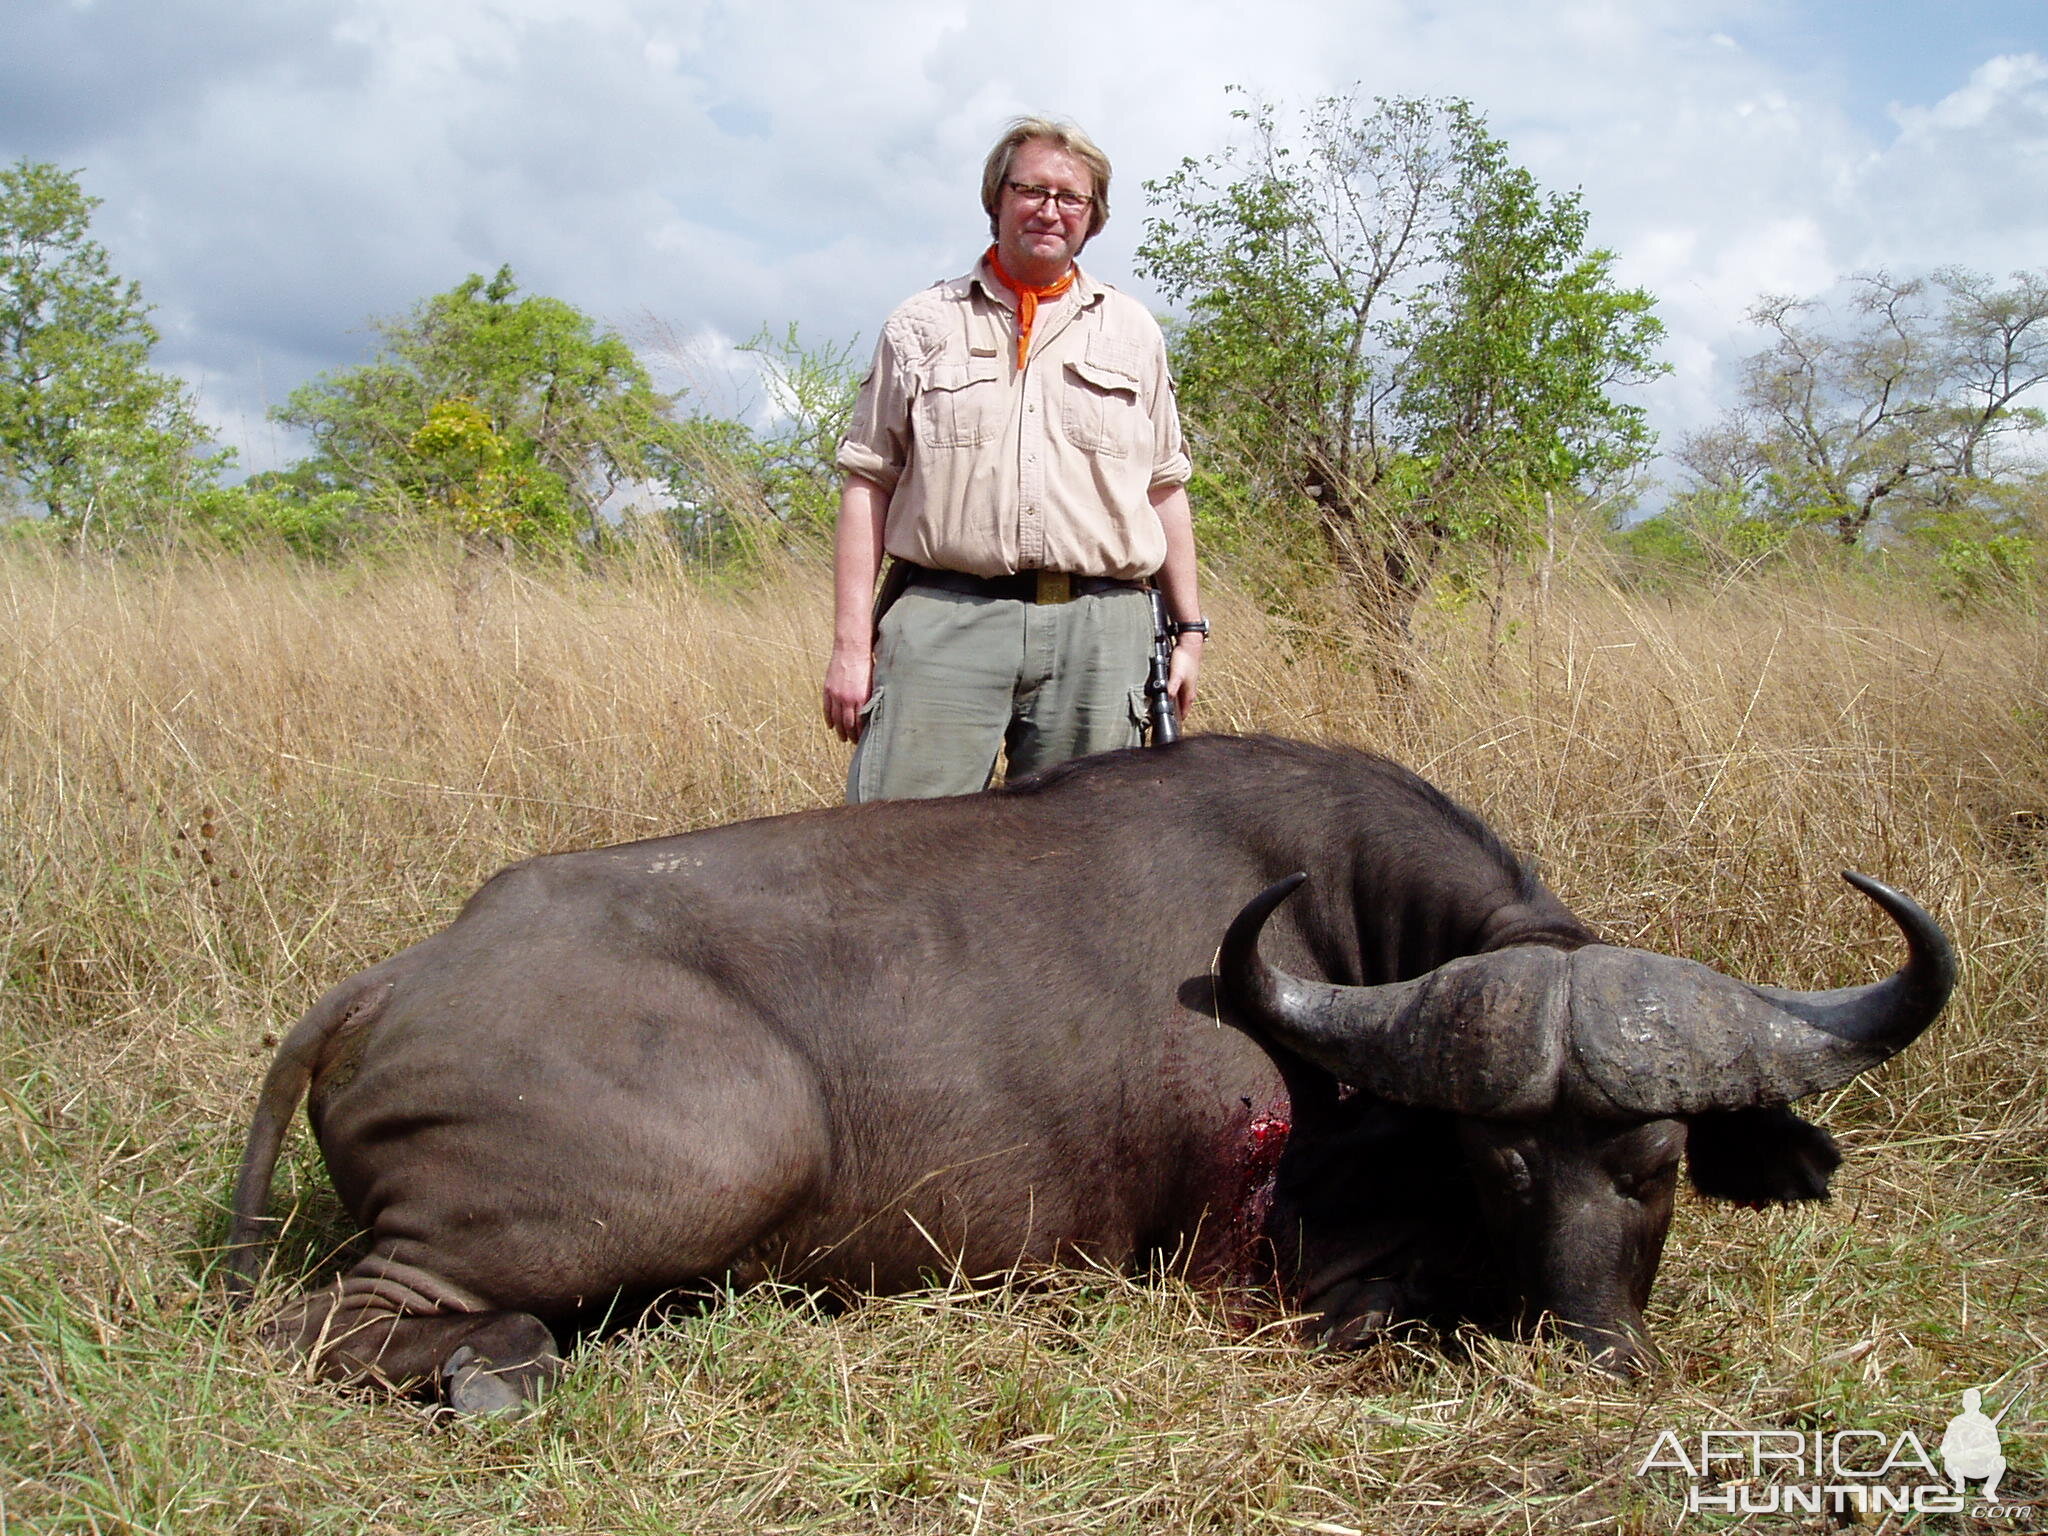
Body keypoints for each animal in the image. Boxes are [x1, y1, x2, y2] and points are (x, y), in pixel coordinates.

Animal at [220, 741, 1949, 1417]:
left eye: (1656, 1165)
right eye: (1495, 1160)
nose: (1593, 1356)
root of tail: (408, 972)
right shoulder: (1267, 1271)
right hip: (709, 1159)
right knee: (321, 1329)